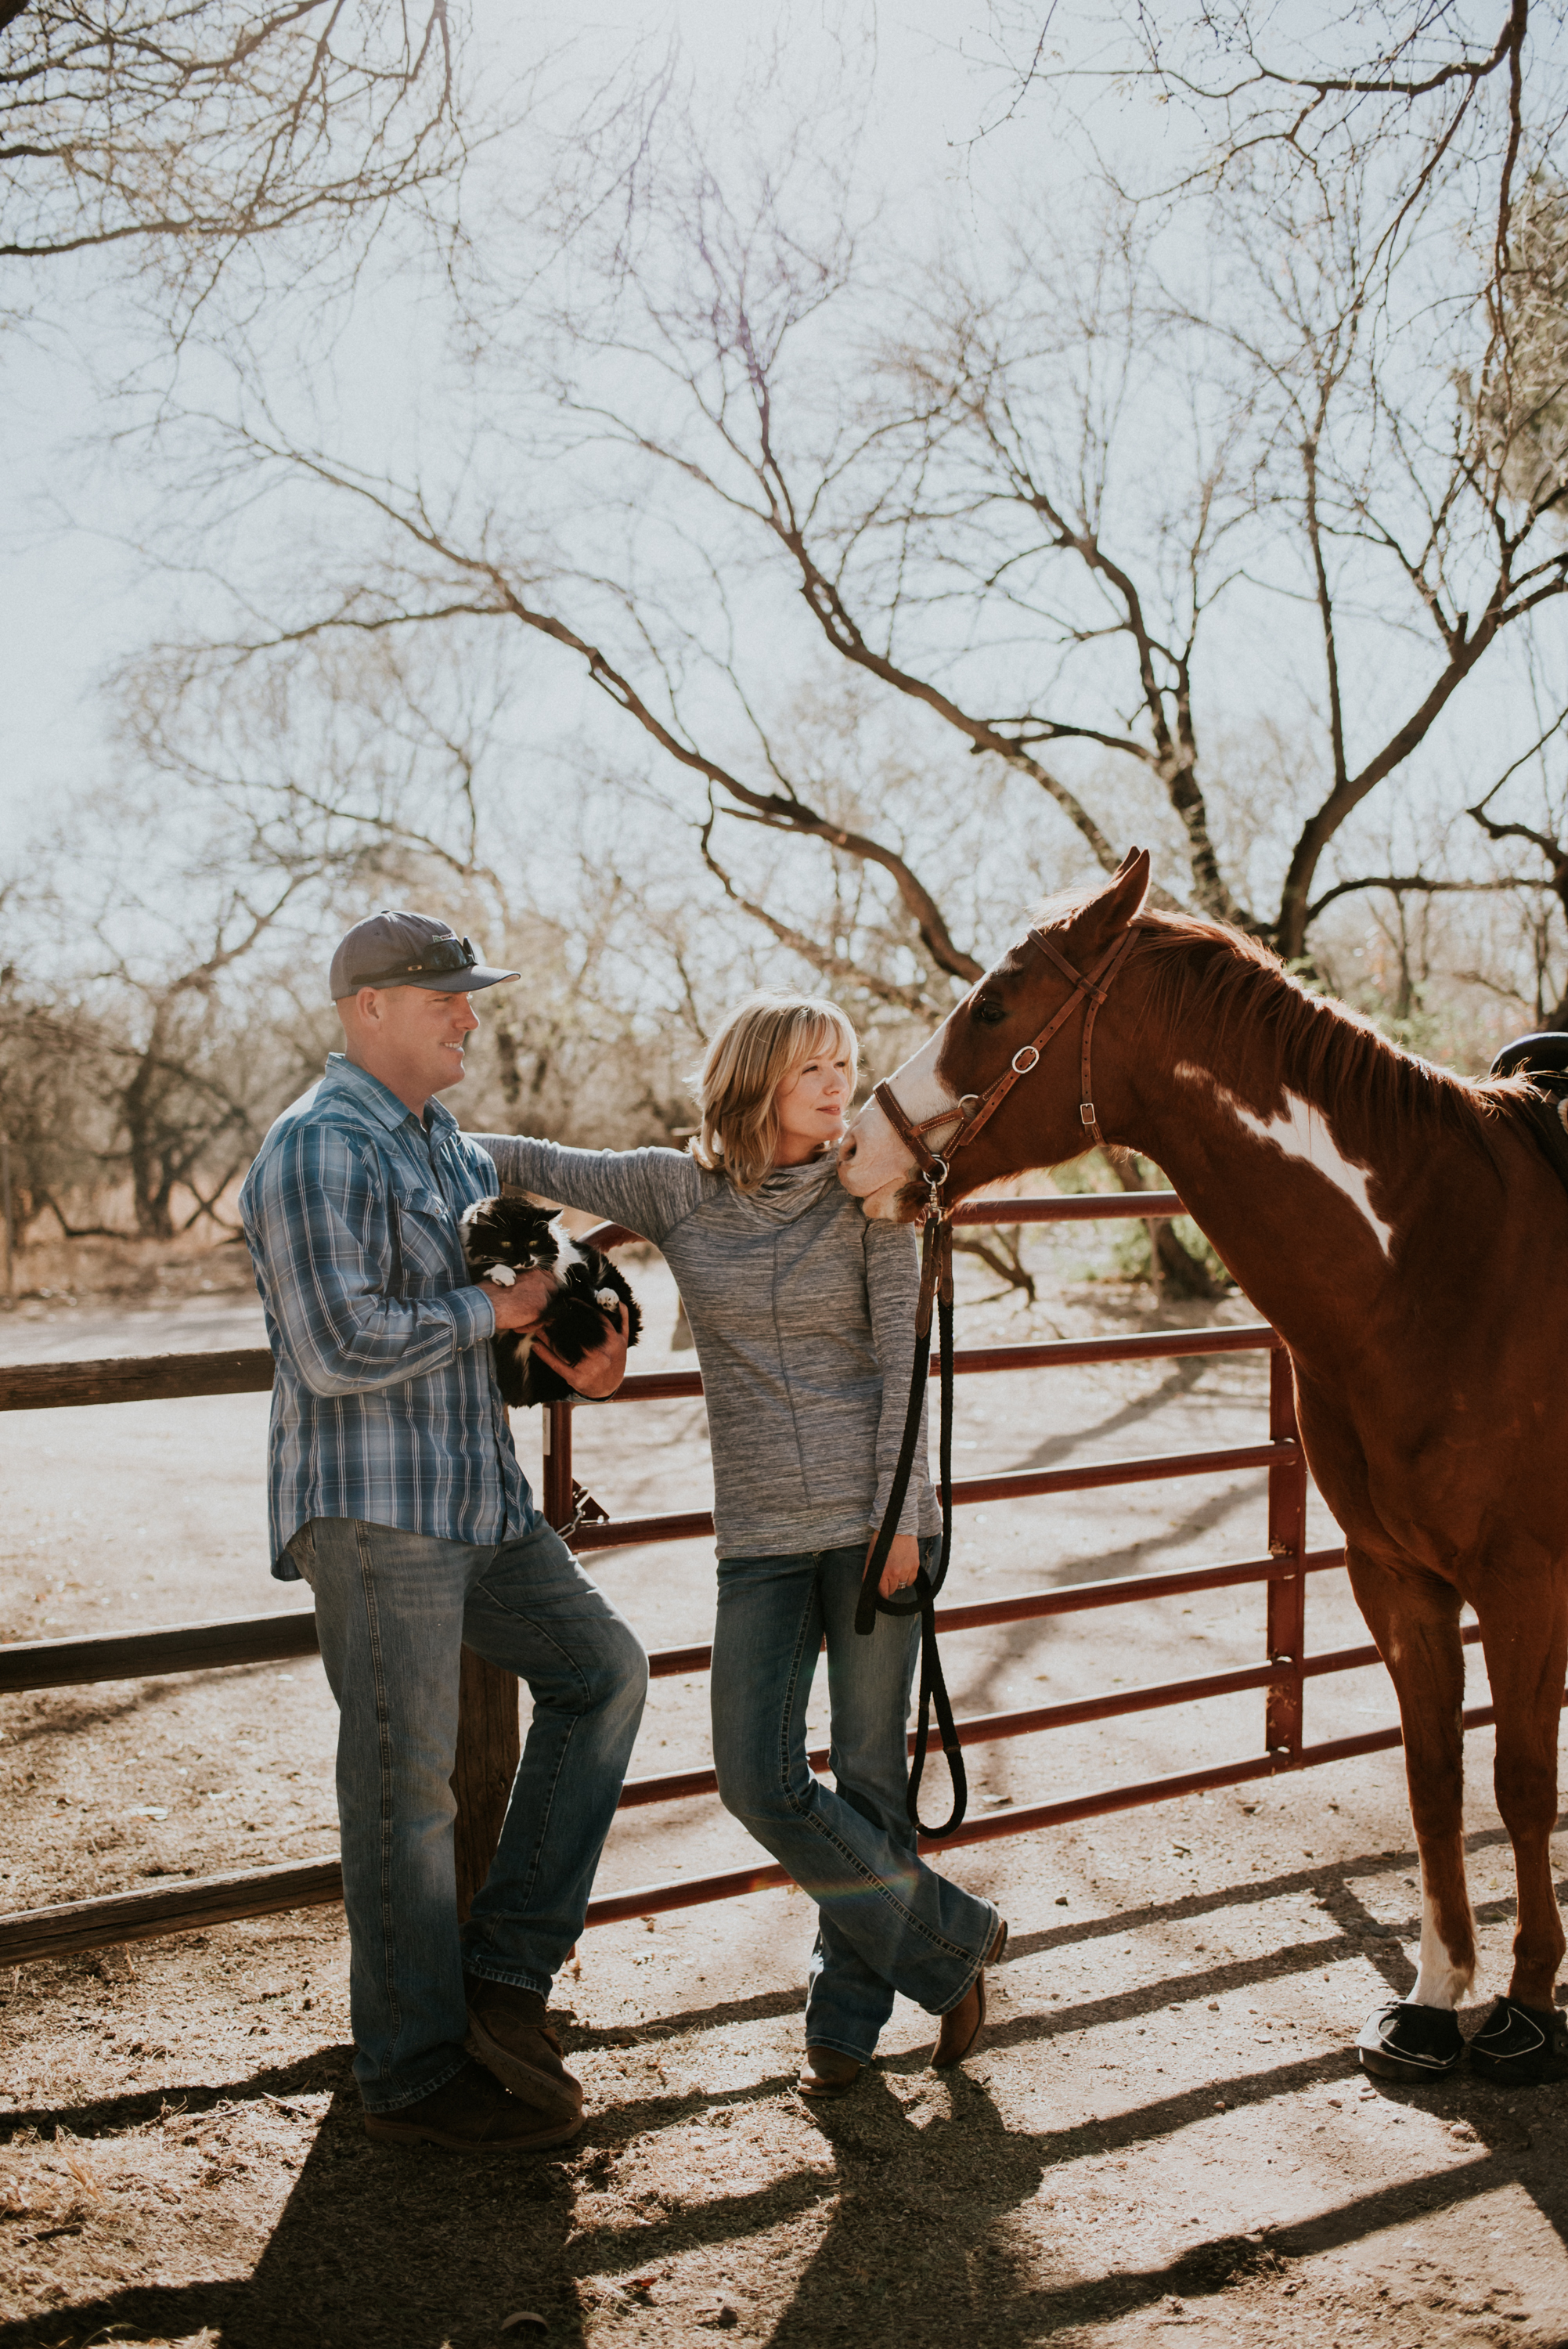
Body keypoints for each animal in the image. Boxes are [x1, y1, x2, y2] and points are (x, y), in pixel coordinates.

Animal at [460, 1203, 643, 1400]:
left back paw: (607, 1297)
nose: (525, 1260)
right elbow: (480, 1266)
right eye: (506, 1243)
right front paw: (503, 1274)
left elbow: (577, 1273)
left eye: (533, 1242)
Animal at [845, 850, 1568, 2095]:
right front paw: (1433, 2005)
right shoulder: (1394, 1578)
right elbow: (1432, 1776)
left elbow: (1520, 1782)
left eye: (992, 1005)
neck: (1444, 1263)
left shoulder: (1526, 1585)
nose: (855, 1150)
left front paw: (1526, 2011)